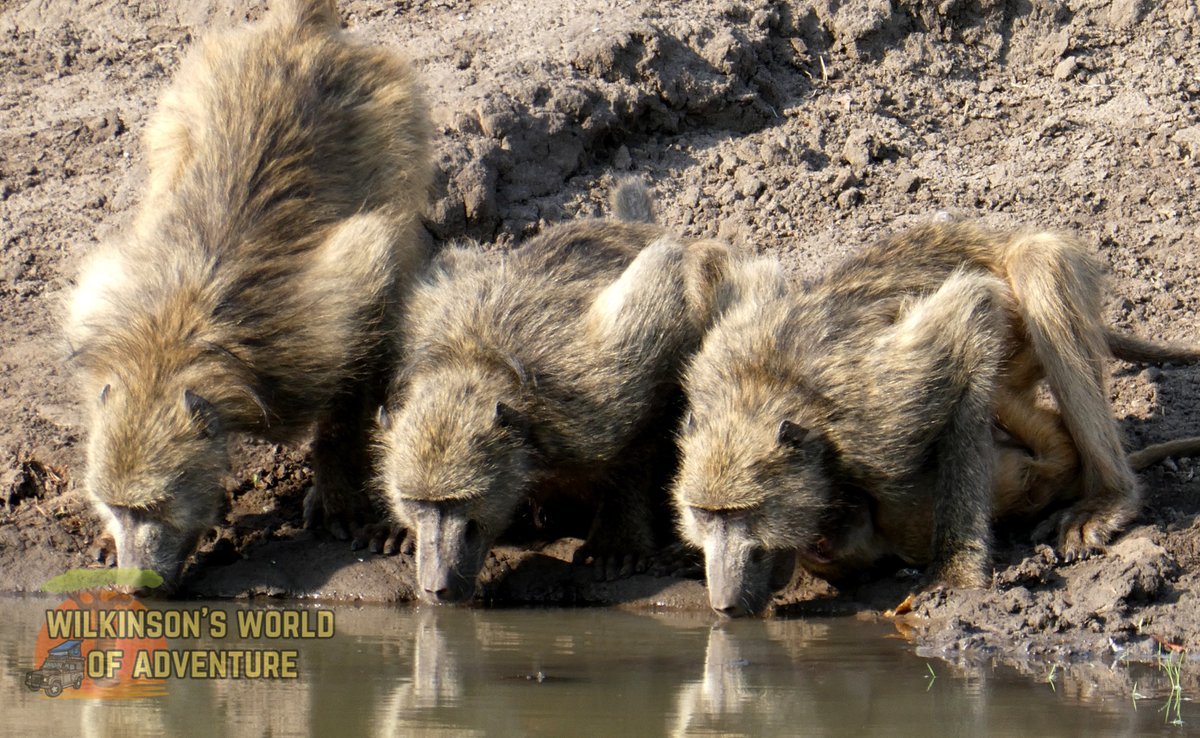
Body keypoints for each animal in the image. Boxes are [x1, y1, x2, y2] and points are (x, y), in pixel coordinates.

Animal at [63, 0, 431, 592]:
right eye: (118, 508)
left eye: (155, 508)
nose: (135, 587)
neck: (174, 342)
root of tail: (294, 32)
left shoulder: (334, 312)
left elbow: (352, 380)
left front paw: (337, 494)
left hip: (396, 121)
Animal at [374, 180, 738, 604]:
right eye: (417, 502)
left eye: (461, 501)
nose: (438, 587)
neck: (477, 360)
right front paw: (396, 525)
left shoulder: (604, 390)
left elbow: (638, 439)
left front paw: (618, 542)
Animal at [671, 220, 1200, 616]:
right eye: (705, 514)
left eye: (741, 514)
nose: (723, 604)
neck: (762, 392)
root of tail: (992, 237)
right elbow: (708, 261)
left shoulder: (881, 421)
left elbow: (973, 311)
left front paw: (954, 574)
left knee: (1037, 264)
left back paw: (1109, 498)